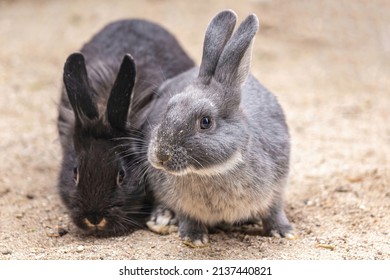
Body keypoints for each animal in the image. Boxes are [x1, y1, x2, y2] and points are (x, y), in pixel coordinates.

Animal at [145, 9, 292, 246]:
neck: (214, 171)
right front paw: (193, 237)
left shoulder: (277, 187)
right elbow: (188, 217)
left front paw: (284, 231)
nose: (161, 156)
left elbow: (274, 211)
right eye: (169, 106)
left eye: (206, 121)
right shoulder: (182, 203)